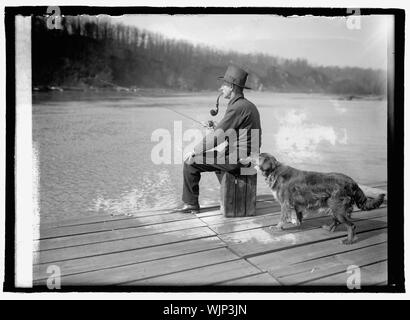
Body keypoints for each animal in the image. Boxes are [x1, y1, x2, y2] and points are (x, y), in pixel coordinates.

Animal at [240, 154, 384, 244]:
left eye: (257, 156)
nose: (246, 156)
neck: (274, 171)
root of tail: (353, 182)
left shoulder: (285, 203)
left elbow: (282, 218)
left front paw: (277, 227)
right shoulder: (295, 204)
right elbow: (298, 216)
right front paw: (297, 224)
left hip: (338, 207)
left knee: (351, 226)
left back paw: (348, 241)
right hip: (334, 205)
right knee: (336, 221)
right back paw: (328, 229)